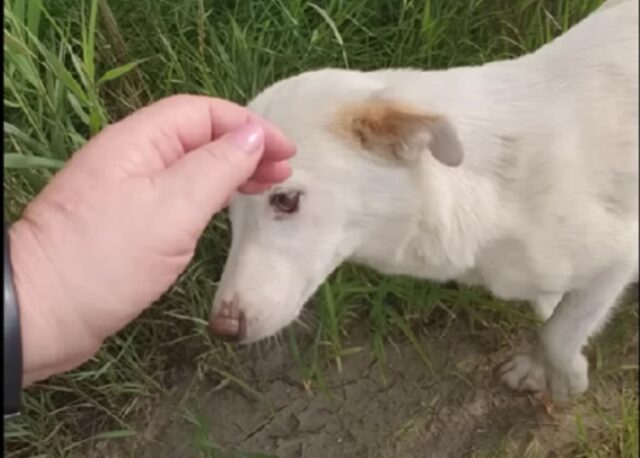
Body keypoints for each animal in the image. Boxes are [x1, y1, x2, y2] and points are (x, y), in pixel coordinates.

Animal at [209, 0, 636, 400]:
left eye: (285, 200)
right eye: (228, 210)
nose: (221, 329)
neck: (489, 190)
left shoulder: (617, 257)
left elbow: (558, 334)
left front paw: (560, 374)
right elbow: (554, 316)